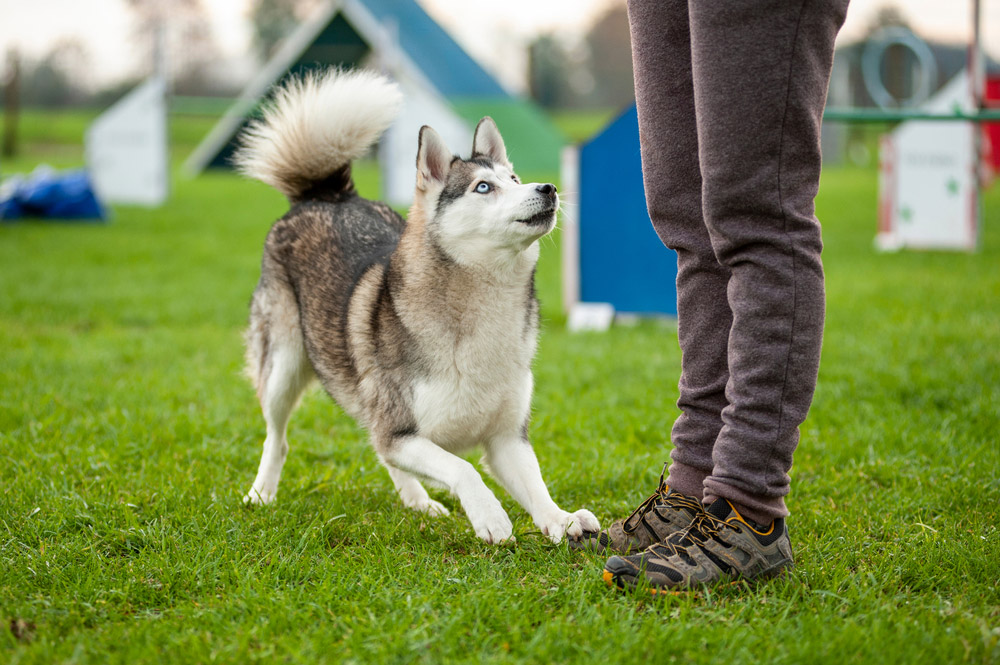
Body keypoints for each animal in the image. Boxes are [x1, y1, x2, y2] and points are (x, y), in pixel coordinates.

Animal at [230, 70, 596, 544]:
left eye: (514, 178)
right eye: (484, 187)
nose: (548, 188)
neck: (483, 308)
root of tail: (325, 196)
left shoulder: (505, 438)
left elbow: (535, 485)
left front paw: (561, 519)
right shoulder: (401, 432)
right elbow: (462, 468)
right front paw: (491, 517)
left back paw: (418, 501)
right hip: (283, 367)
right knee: (278, 439)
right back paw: (261, 494)